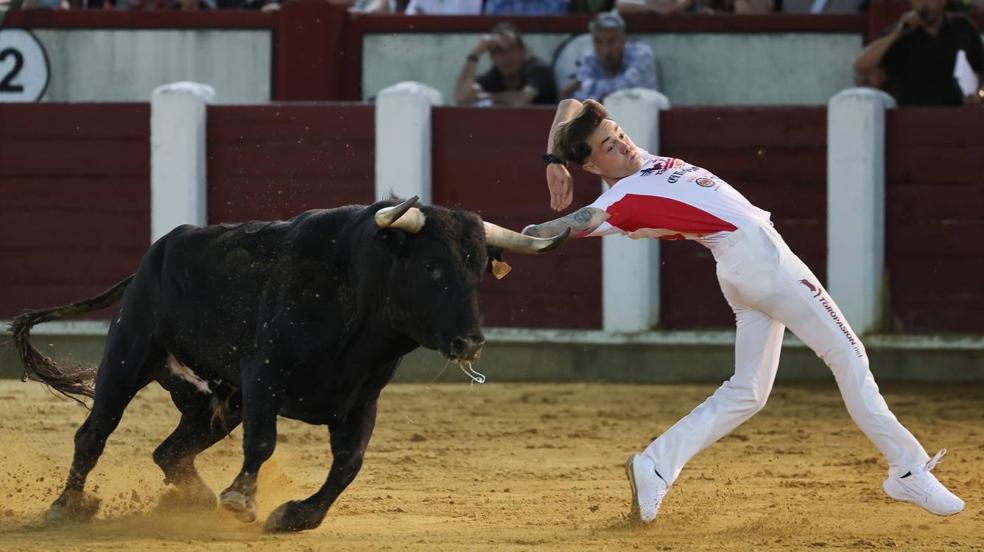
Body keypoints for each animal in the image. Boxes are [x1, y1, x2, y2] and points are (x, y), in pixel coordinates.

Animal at [9, 198, 568, 532]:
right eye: (431, 266)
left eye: (478, 272)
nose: (469, 342)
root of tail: (152, 257)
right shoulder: (264, 377)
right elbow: (263, 442)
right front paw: (242, 500)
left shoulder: (361, 399)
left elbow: (349, 464)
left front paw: (296, 515)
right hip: (128, 356)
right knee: (94, 432)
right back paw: (66, 507)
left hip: (215, 401)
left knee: (169, 451)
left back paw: (194, 501)